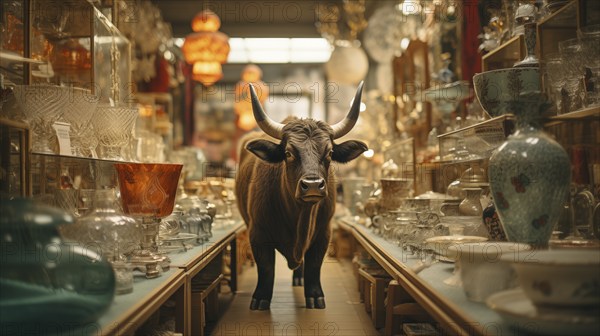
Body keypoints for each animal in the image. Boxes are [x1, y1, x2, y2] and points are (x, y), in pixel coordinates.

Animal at [234, 82, 366, 310]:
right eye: (288, 153)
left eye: (330, 153)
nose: (312, 185)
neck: (299, 218)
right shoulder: (257, 234)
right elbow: (266, 269)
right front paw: (260, 299)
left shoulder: (323, 233)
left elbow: (314, 266)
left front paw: (314, 296)